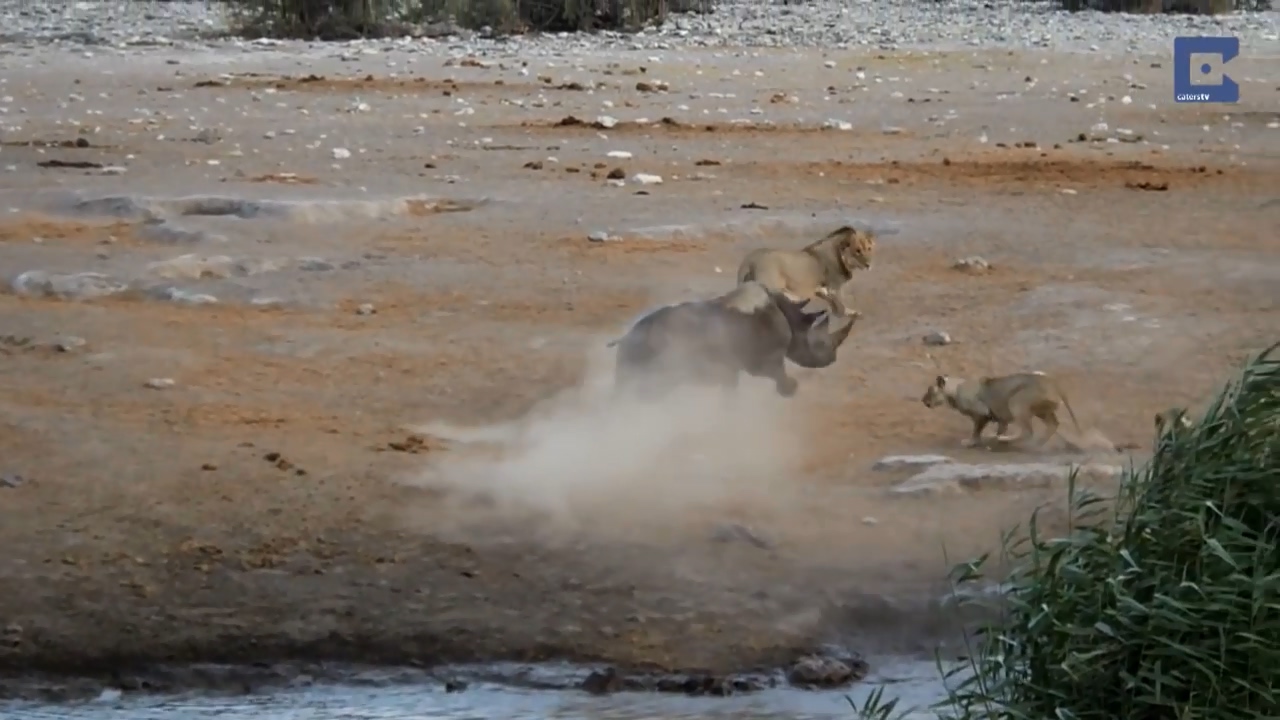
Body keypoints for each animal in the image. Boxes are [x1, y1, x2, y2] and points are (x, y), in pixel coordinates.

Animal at [607, 281, 858, 398]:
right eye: (820, 344)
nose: (831, 360)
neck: (792, 316)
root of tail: (625, 338)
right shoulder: (762, 360)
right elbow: (779, 376)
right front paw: (791, 388)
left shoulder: (731, 369)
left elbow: (730, 392)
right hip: (654, 355)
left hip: (638, 353)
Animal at [736, 225, 875, 318]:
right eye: (857, 251)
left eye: (869, 249)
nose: (869, 265)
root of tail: (750, 259)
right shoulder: (833, 288)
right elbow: (840, 304)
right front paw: (848, 313)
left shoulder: (822, 289)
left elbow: (833, 303)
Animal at [921, 371, 1082, 449]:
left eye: (930, 391)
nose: (923, 401)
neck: (955, 389)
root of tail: (1055, 383)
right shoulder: (1000, 418)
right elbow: (1000, 427)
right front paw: (995, 441)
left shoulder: (982, 413)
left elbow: (976, 430)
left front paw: (972, 442)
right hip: (1042, 411)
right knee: (1053, 425)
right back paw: (1037, 444)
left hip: (1017, 402)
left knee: (1028, 432)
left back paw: (1008, 440)